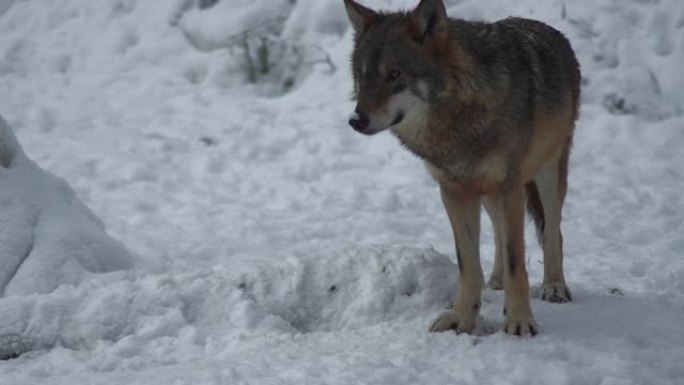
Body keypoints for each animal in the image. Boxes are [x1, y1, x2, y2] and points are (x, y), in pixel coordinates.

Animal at [344, 0, 580, 334]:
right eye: (362, 76)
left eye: (394, 73)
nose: (356, 120)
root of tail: (548, 29)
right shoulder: (454, 191)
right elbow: (468, 263)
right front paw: (462, 317)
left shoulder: (509, 187)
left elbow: (516, 259)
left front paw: (519, 320)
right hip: (489, 193)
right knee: (499, 233)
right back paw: (495, 281)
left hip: (546, 176)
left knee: (552, 233)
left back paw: (555, 287)